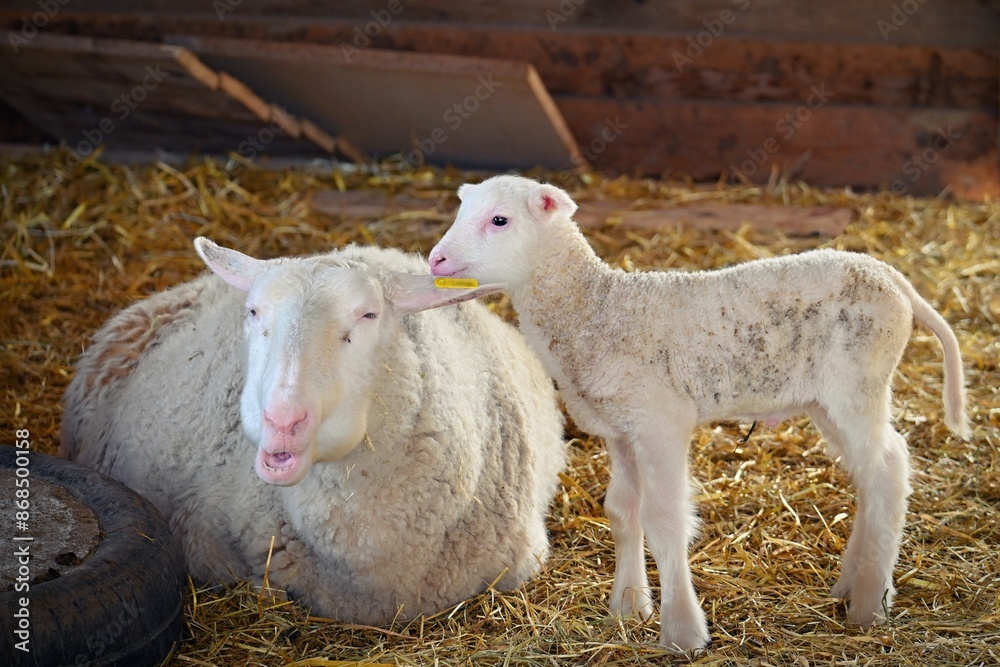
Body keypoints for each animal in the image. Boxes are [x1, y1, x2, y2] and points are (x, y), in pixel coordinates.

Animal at [427, 174, 971, 651]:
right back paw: (851, 583)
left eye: (499, 220)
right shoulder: (621, 429)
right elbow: (622, 512)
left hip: (858, 383)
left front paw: (682, 631)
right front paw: (628, 607)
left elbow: (665, 521)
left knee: (889, 469)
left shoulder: (661, 422)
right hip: (828, 402)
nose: (436, 259)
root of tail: (893, 277)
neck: (595, 309)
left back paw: (868, 604)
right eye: (460, 211)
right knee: (869, 474)